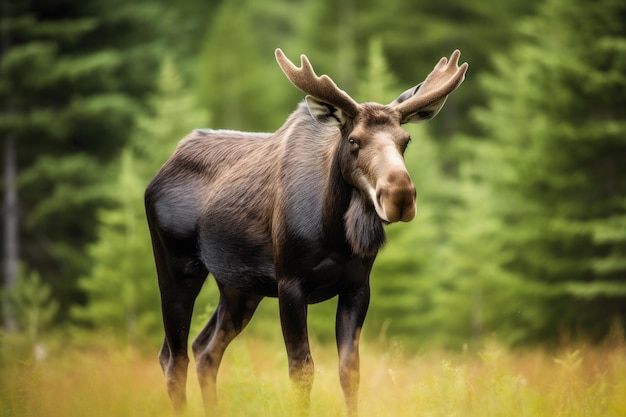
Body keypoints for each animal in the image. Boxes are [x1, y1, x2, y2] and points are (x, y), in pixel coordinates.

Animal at [146, 47, 466, 414]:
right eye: (354, 140)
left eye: (406, 140)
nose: (399, 195)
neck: (336, 236)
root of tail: (161, 171)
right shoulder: (290, 285)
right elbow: (301, 370)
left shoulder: (357, 286)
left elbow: (350, 370)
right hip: (177, 267)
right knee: (173, 356)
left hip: (238, 288)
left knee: (204, 349)